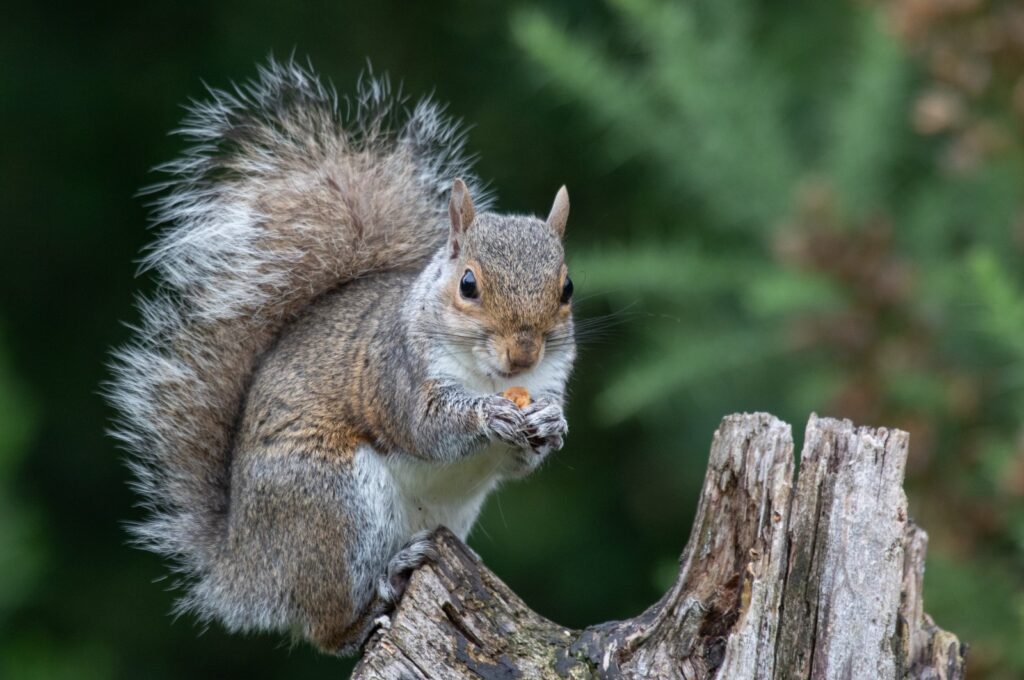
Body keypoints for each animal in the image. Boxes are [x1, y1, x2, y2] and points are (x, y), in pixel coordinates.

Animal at [111, 61, 577, 655]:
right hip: (333, 507)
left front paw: (550, 424)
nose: (523, 353)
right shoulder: (396, 373)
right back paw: (373, 604)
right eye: (468, 284)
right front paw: (487, 415)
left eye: (567, 289)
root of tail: (243, 567)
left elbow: (522, 459)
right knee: (324, 624)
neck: (490, 376)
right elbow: (427, 427)